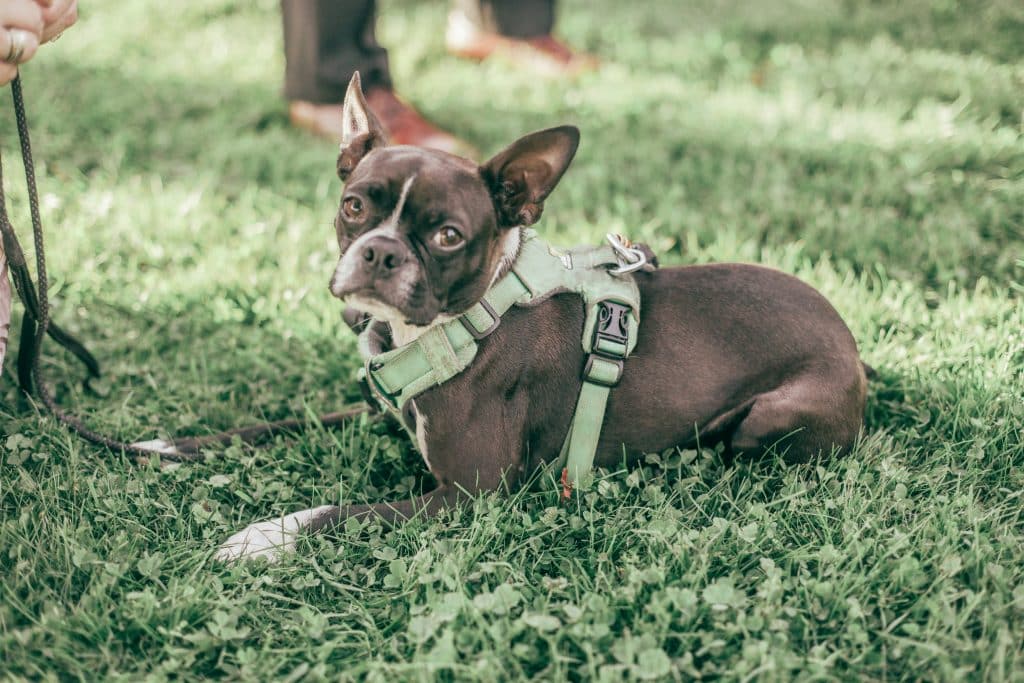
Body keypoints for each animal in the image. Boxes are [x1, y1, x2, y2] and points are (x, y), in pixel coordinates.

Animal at [214, 74, 864, 565]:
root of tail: (854, 351)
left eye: (448, 236)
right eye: (353, 206)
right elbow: (268, 426)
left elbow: (342, 513)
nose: (380, 252)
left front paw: (263, 537)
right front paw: (189, 441)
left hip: (771, 416)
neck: (460, 324)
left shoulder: (469, 494)